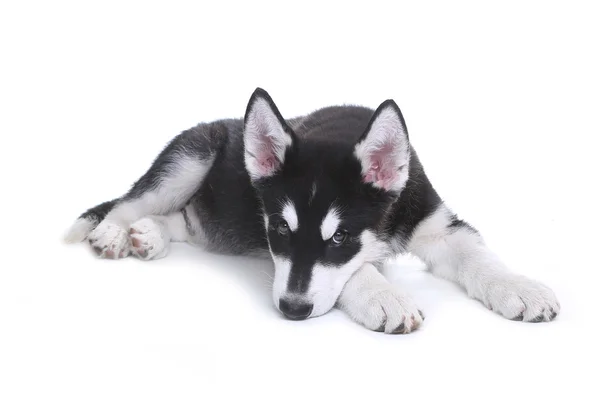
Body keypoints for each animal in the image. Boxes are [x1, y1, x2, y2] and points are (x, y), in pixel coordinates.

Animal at [64, 88, 556, 334]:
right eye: (280, 229)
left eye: (340, 236)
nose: (292, 310)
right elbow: (357, 269)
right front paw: (385, 296)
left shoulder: (434, 222)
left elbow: (477, 256)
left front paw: (521, 288)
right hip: (190, 158)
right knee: (131, 201)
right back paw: (113, 233)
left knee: (181, 220)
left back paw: (149, 235)